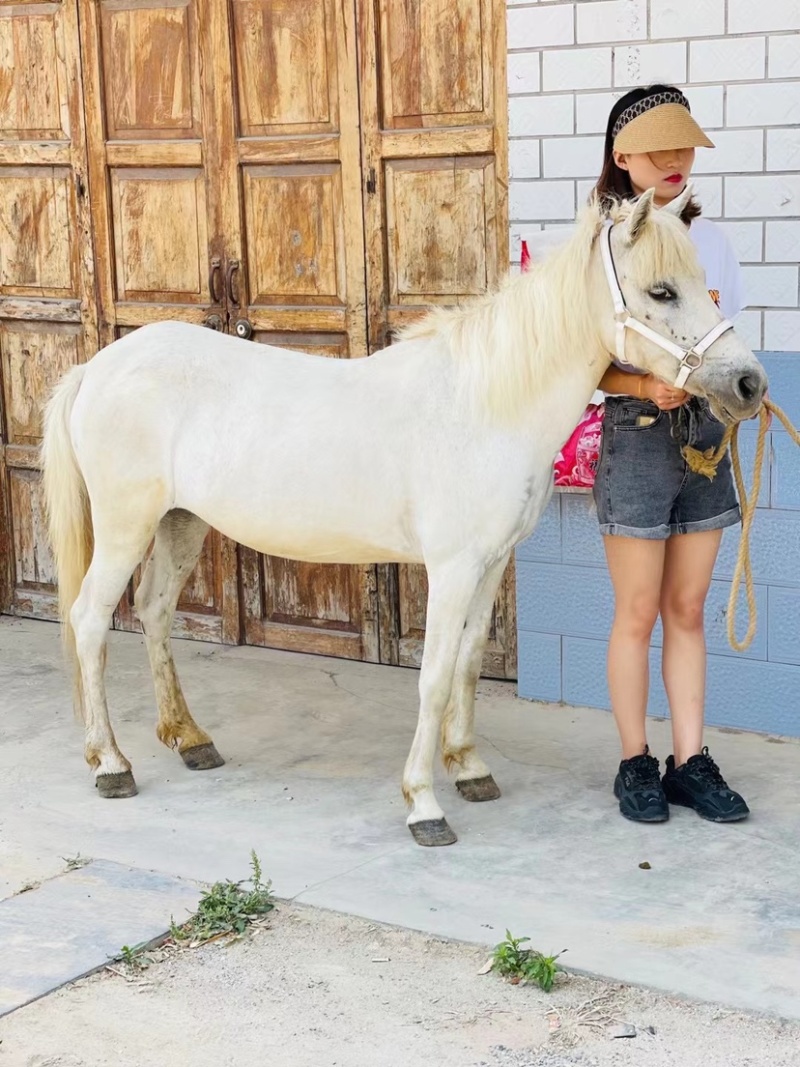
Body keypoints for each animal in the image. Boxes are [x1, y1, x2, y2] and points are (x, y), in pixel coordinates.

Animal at [42, 187, 767, 846]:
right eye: (662, 291)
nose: (749, 384)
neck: (483, 405)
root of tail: (95, 369)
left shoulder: (489, 564)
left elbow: (468, 662)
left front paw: (468, 769)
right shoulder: (451, 569)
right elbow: (435, 675)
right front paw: (424, 803)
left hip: (180, 522)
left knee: (155, 611)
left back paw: (191, 739)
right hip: (126, 527)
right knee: (90, 620)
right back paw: (111, 764)